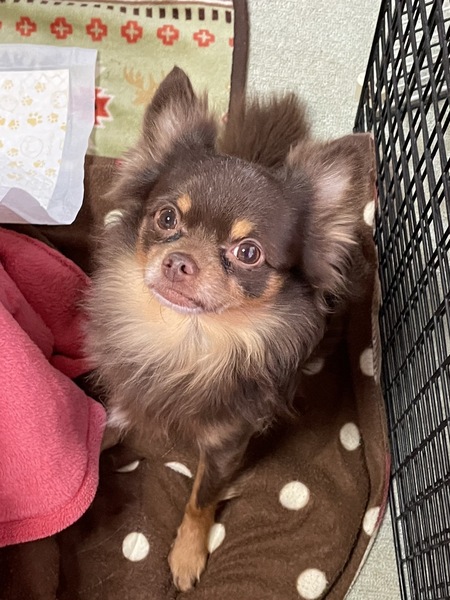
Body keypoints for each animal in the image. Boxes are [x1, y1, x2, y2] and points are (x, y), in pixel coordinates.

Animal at [85, 67, 374, 591]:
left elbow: (201, 498)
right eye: (167, 217)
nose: (179, 261)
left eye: (248, 253)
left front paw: (187, 554)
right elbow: (103, 426)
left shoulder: (226, 444)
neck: (188, 338)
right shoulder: (128, 396)